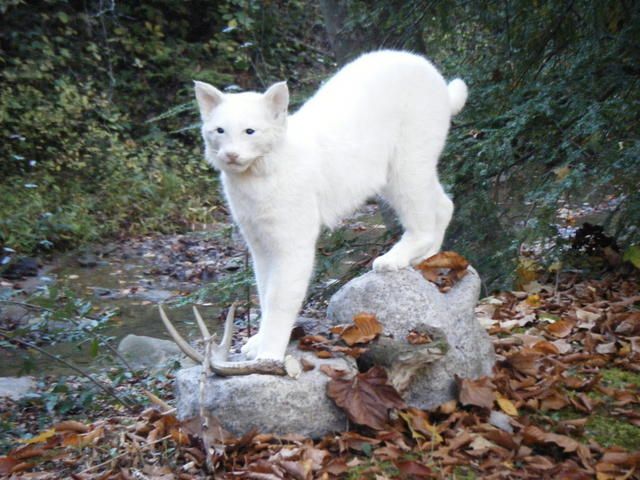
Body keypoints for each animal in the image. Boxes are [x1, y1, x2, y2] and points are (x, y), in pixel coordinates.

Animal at [192, 50, 468, 362]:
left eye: (250, 131)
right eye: (219, 131)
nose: (230, 155)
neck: (257, 175)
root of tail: (428, 68)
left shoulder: (292, 243)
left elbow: (278, 298)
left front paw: (270, 355)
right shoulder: (259, 243)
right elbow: (263, 292)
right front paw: (259, 342)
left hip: (405, 163)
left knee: (422, 220)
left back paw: (394, 259)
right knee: (443, 204)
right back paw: (430, 259)